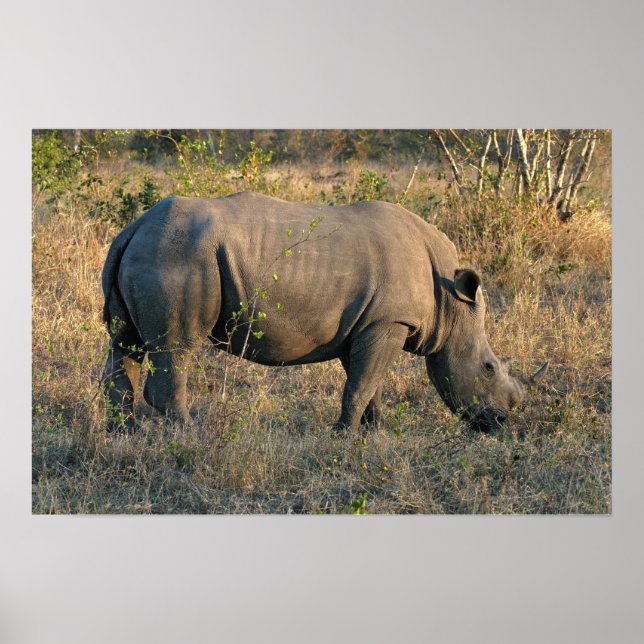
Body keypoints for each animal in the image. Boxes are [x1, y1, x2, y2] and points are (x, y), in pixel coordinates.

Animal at [101, 191, 546, 433]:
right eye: (489, 367)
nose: (501, 422)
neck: (451, 303)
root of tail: (133, 228)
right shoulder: (388, 321)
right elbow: (361, 385)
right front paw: (344, 437)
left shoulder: (370, 324)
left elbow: (367, 383)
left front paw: (375, 434)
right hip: (178, 254)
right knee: (177, 347)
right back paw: (188, 434)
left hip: (150, 249)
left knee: (124, 343)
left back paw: (124, 436)